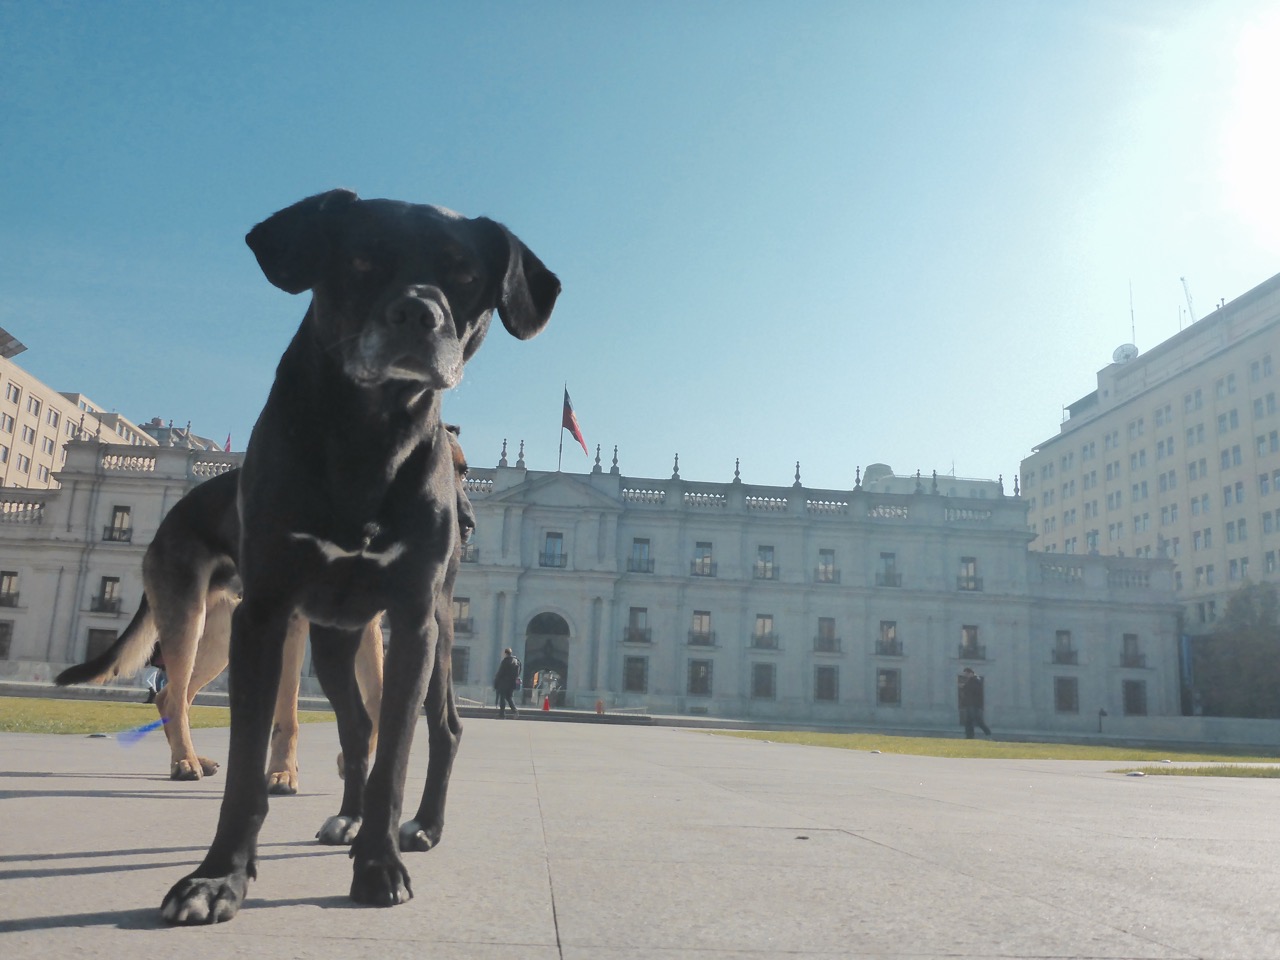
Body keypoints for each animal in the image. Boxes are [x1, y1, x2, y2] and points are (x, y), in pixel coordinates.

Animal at [158, 193, 555, 926]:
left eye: (464, 274)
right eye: (362, 259)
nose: (419, 312)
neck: (368, 436)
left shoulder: (415, 621)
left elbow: (395, 758)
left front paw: (378, 865)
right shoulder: (263, 614)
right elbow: (248, 765)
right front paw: (219, 876)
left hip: (435, 635)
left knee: (443, 728)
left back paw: (424, 825)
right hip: (333, 639)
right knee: (355, 725)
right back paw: (343, 816)